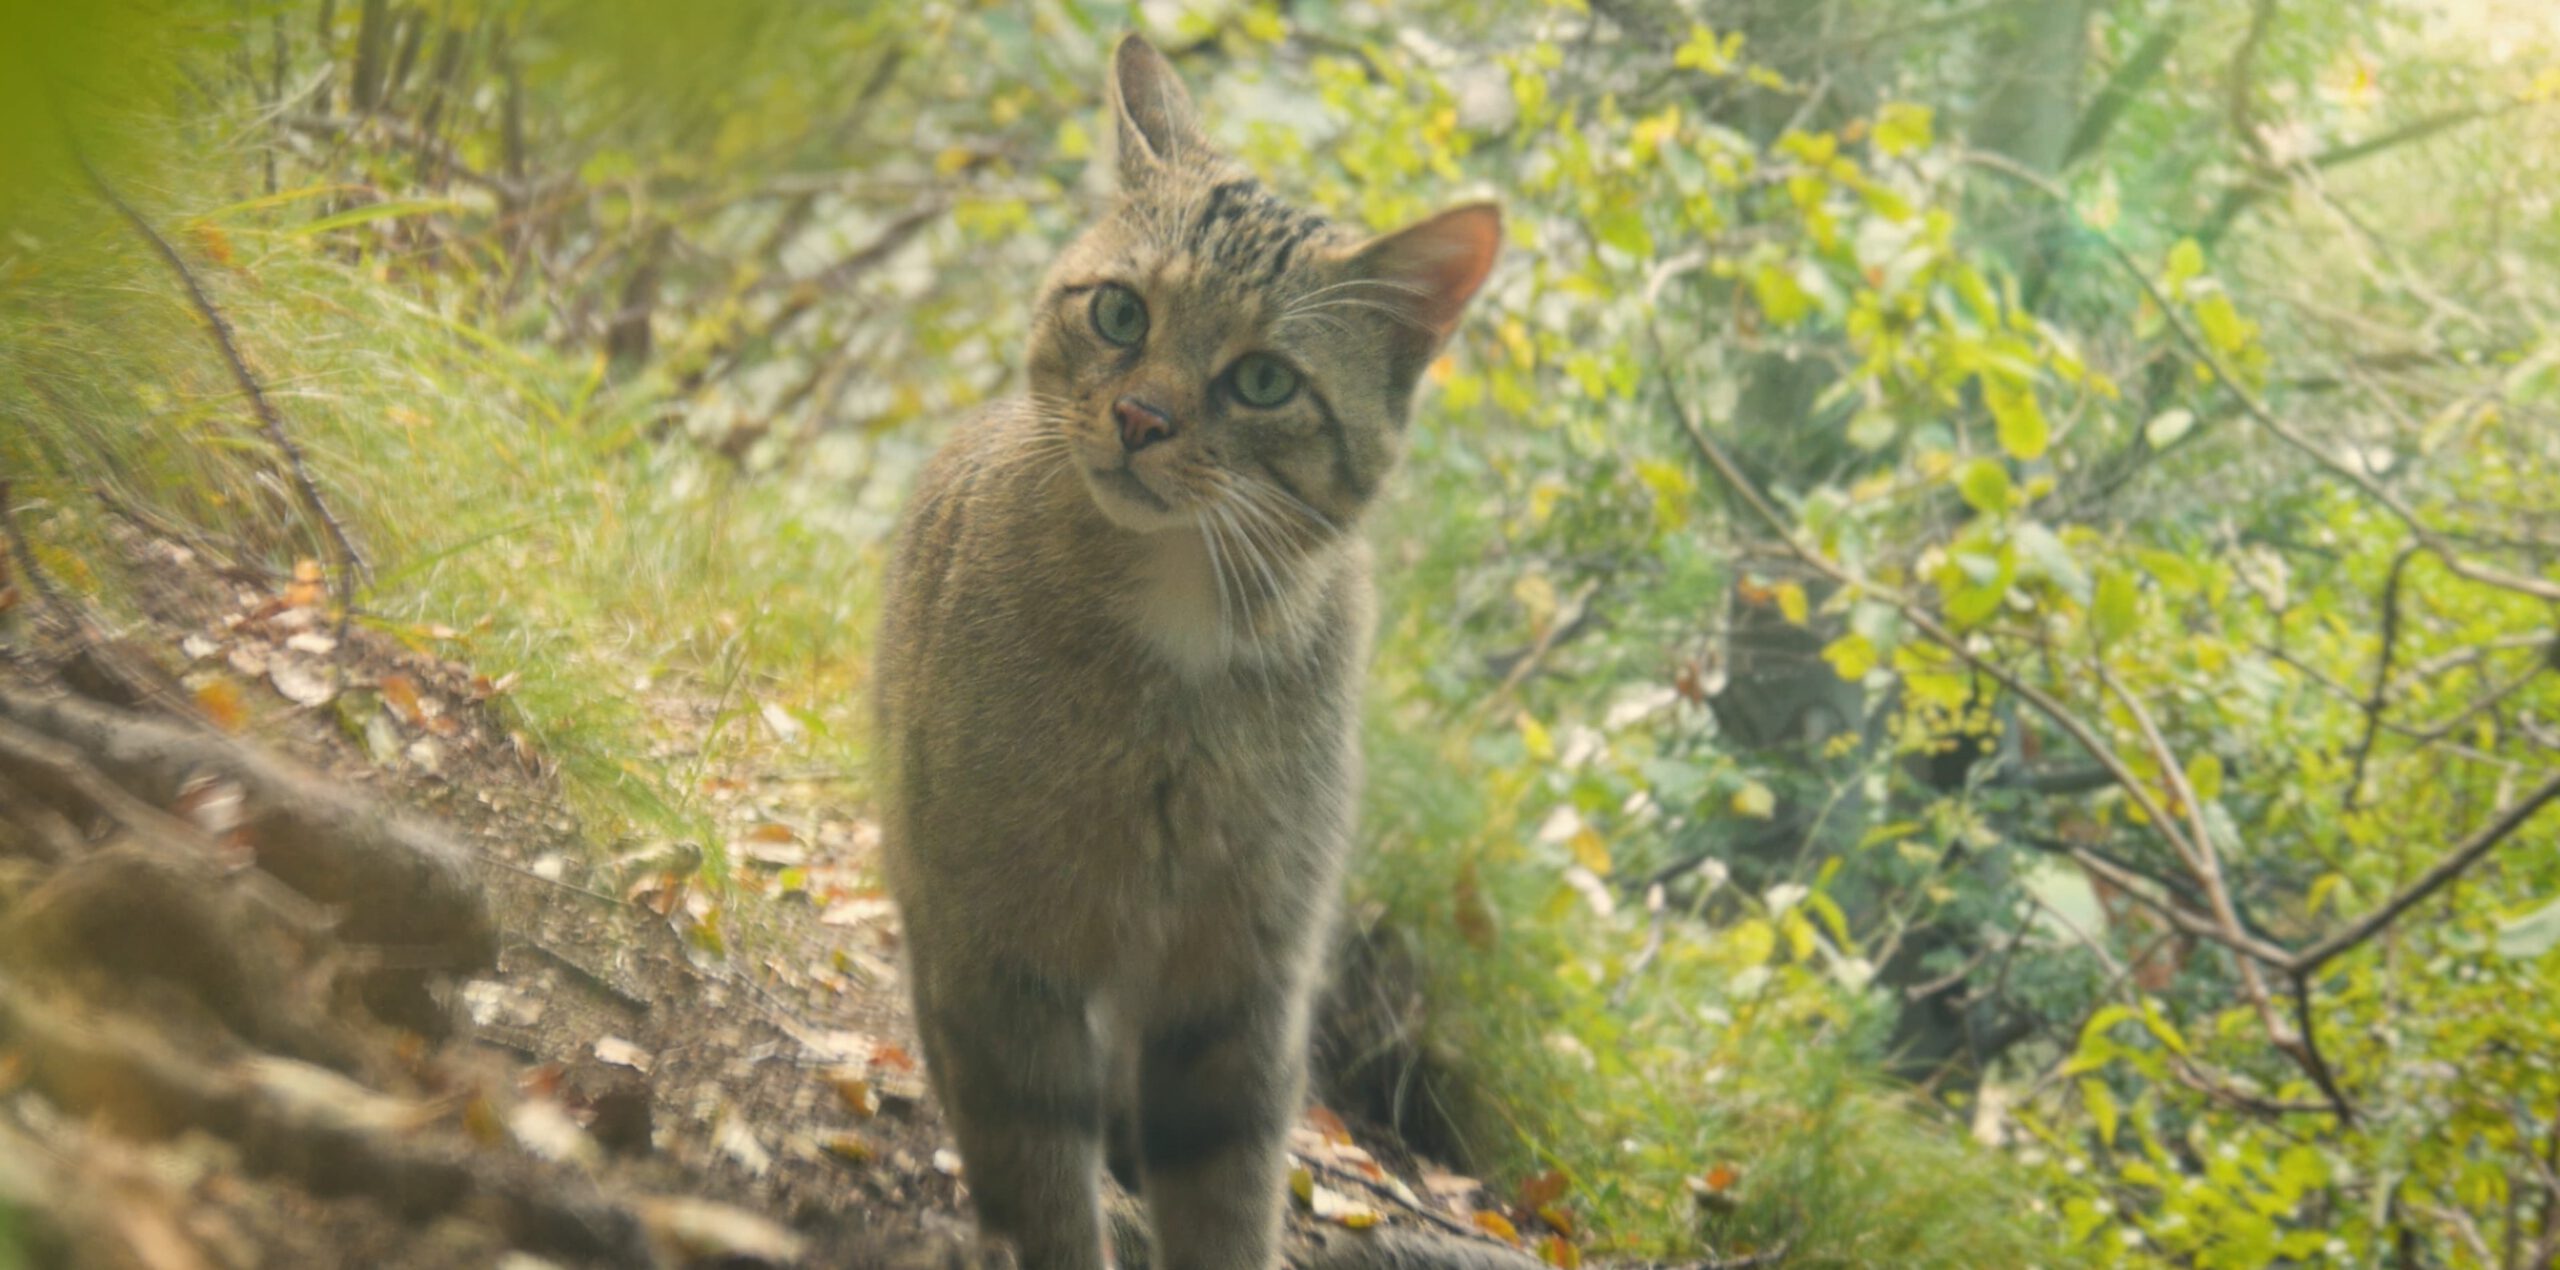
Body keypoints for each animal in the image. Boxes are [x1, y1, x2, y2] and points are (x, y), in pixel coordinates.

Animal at [875, 29, 1495, 1270]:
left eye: (1263, 379)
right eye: (1121, 315)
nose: (1140, 419)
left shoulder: (1242, 987)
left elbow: (1224, 1190)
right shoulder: (998, 949)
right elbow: (1038, 1171)